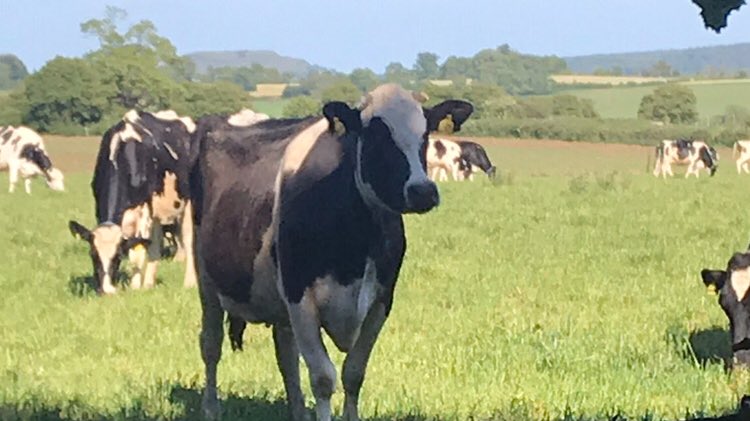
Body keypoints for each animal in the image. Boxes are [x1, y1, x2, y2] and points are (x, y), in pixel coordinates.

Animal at [68, 109, 198, 295]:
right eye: (93, 255)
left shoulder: (144, 210)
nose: (107, 291)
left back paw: (188, 282)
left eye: (117, 256)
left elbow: (137, 254)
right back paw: (149, 282)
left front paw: (135, 287)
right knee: (155, 243)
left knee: (187, 239)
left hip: (186, 204)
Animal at [190, 83, 474, 421]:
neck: (358, 246)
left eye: (425, 135)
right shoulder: (299, 296)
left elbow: (354, 373)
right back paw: (210, 408)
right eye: (376, 137)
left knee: (286, 354)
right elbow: (324, 379)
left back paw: (298, 412)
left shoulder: (381, 300)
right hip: (206, 278)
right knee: (211, 344)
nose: (423, 191)